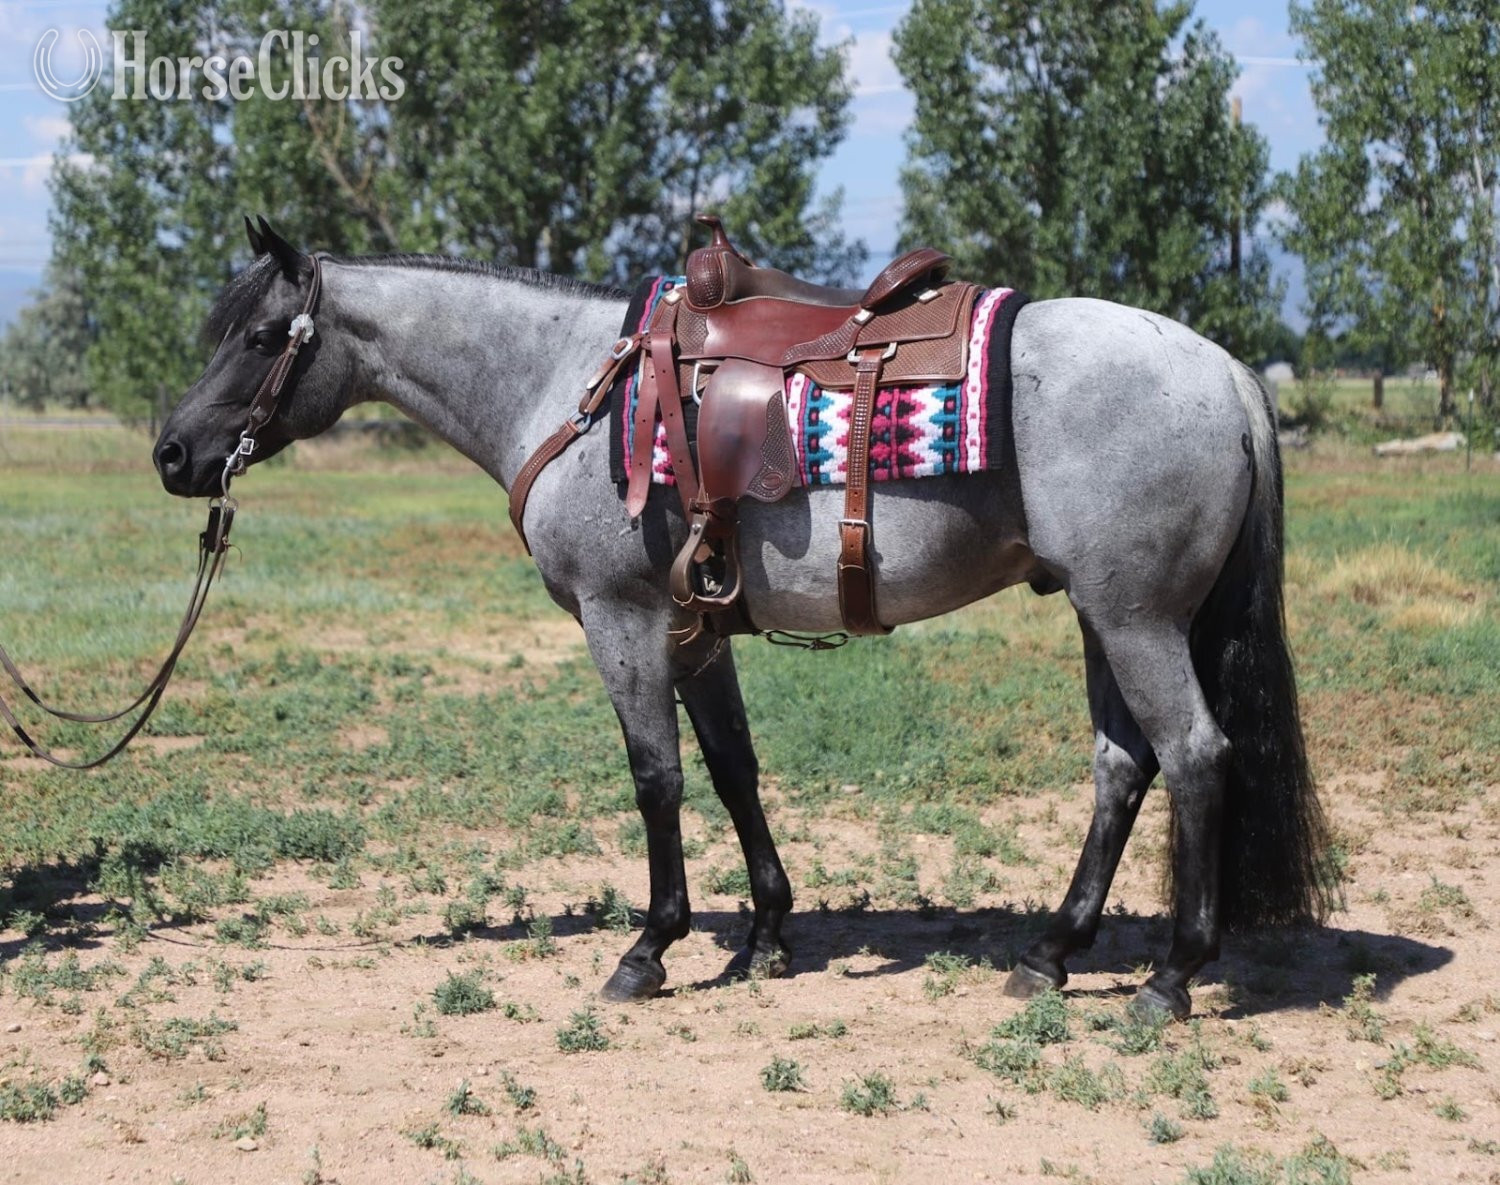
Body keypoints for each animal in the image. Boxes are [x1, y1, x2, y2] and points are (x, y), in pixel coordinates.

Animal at [153, 220, 1332, 1020]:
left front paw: (650, 948)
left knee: (1194, 755)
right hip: (1102, 618)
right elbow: (733, 769)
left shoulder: (622, 620)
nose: (173, 454)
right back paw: (1053, 951)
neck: (571, 389)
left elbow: (656, 778)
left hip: (1137, 620)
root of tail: (1223, 369)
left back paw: (1171, 975)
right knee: (1122, 768)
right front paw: (764, 931)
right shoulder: (697, 628)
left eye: (263, 335)